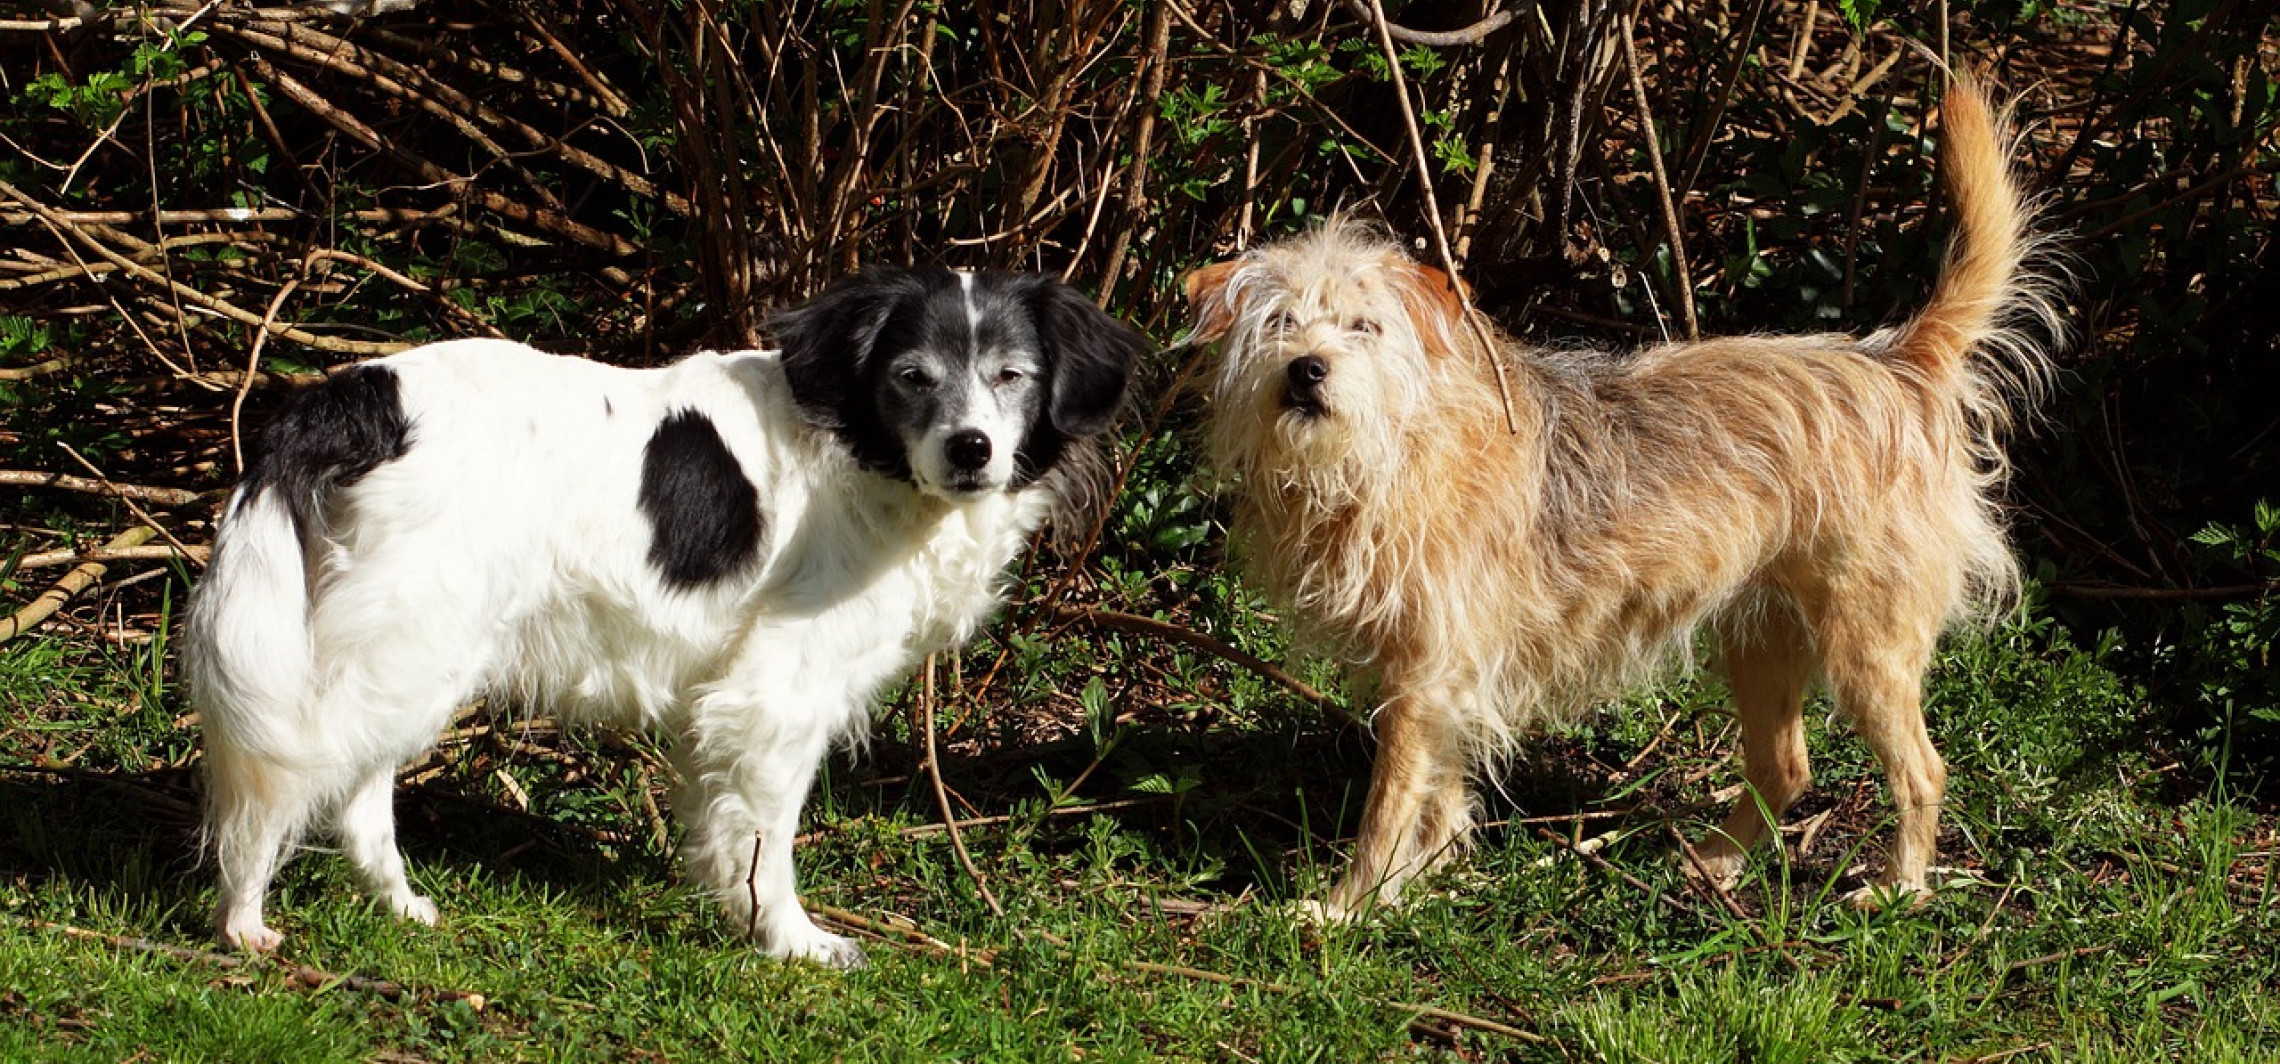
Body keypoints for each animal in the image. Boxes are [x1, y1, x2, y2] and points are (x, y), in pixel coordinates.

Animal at [182, 264, 1140, 966]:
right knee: (284, 782)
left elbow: (723, 827)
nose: (971, 449)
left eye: (1012, 377)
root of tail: (354, 395)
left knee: (357, 792)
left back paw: (400, 904)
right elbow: (766, 841)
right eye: (912, 378)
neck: (863, 451)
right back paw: (242, 919)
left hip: (410, 648)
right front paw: (789, 940)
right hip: (406, 642)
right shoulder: (775, 694)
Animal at [1185, 76, 2061, 925]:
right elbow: (1440, 791)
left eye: (1364, 326)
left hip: (1867, 648)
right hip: (1763, 640)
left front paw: (1350, 905)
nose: (1307, 368)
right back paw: (1716, 865)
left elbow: (1389, 804)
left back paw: (1900, 888)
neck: (1391, 449)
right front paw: (1428, 874)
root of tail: (1898, 362)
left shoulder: (1425, 678)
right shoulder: (1446, 683)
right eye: (1280, 321)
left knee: (1921, 770)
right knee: (1785, 767)